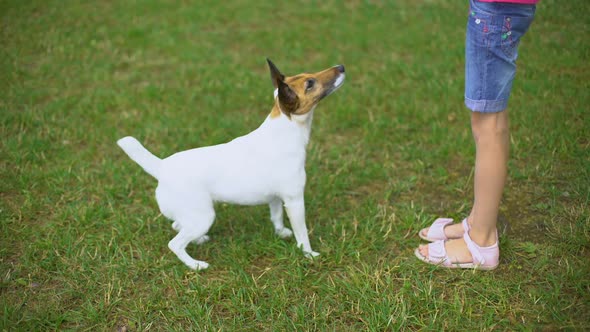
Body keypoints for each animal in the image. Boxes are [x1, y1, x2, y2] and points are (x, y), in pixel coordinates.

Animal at [117, 58, 344, 268]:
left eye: (309, 75)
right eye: (310, 83)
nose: (341, 67)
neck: (285, 129)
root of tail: (162, 168)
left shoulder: (276, 198)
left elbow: (276, 217)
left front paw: (281, 233)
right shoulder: (295, 200)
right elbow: (302, 233)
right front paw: (308, 254)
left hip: (192, 216)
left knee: (177, 226)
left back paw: (199, 240)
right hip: (203, 216)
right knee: (175, 243)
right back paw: (196, 264)